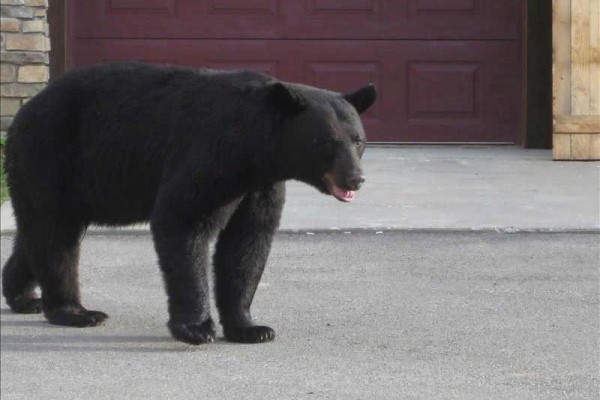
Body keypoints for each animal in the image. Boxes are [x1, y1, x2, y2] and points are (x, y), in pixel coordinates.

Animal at [2, 61, 376, 344]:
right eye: (326, 142)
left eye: (357, 140)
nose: (355, 179)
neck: (254, 148)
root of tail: (25, 110)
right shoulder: (210, 154)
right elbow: (184, 221)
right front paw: (195, 328)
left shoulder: (260, 186)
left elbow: (248, 243)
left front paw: (251, 328)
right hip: (51, 154)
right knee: (55, 234)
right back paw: (75, 311)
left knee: (37, 234)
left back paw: (23, 297)